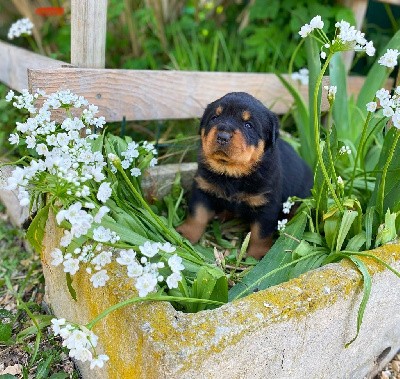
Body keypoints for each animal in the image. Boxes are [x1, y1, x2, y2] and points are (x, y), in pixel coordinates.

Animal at [177, 92, 312, 260]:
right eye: (214, 118)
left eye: (248, 125)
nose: (223, 136)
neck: (232, 173)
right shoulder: (202, 189)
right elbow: (197, 215)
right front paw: (186, 235)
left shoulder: (266, 205)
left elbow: (260, 233)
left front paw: (257, 256)